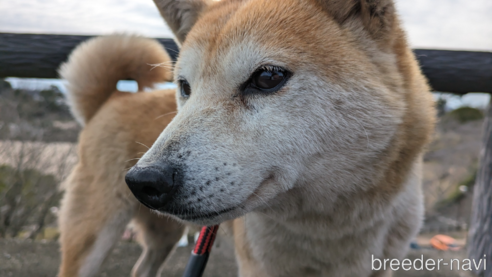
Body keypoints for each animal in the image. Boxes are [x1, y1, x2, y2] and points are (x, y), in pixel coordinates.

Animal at [56, 0, 434, 274]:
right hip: (93, 234)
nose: (144, 181)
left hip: (164, 235)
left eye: (267, 77)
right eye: (185, 87)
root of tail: (111, 99)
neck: (327, 226)